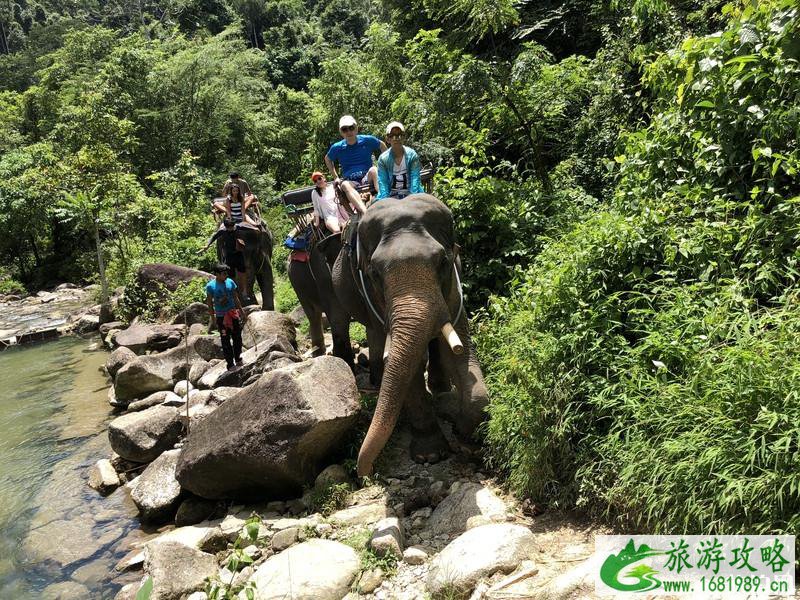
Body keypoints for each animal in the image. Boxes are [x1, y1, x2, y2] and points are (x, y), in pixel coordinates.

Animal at [330, 195, 488, 476]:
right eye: (374, 273)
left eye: (443, 262)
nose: (365, 472)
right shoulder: (372, 294)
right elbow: (407, 365)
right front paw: (430, 456)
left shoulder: (454, 286)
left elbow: (458, 351)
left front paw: (465, 437)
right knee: (360, 327)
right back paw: (378, 380)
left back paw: (438, 389)